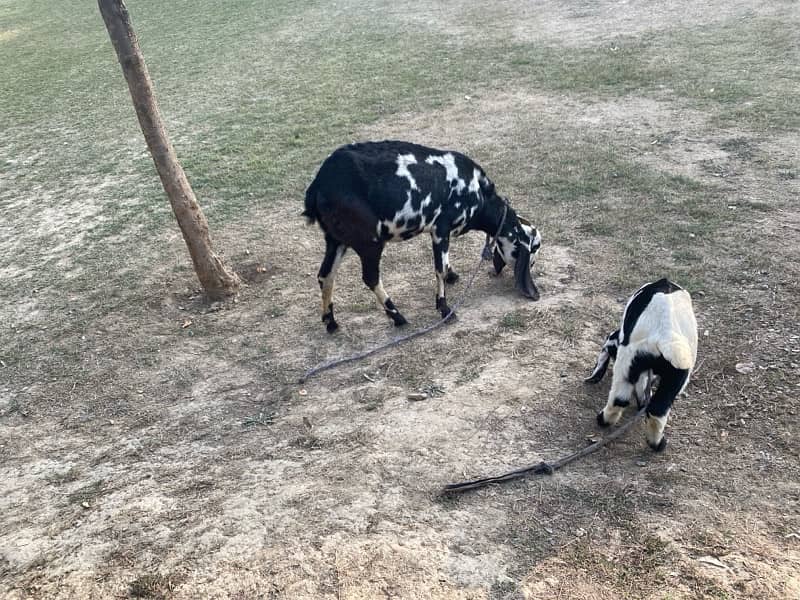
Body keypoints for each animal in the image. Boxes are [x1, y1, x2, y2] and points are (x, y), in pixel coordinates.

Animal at [304, 141, 540, 332]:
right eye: (535, 250)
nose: (532, 269)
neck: (479, 194)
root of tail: (318, 186)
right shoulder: (441, 230)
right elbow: (439, 269)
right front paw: (445, 309)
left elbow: (444, 266)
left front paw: (452, 276)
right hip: (369, 242)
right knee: (370, 278)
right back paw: (398, 317)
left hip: (336, 240)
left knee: (325, 276)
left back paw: (330, 321)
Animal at [584, 278, 696, 452]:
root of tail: (666, 336)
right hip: (665, 372)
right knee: (652, 408)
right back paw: (656, 443)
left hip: (630, 363)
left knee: (625, 400)